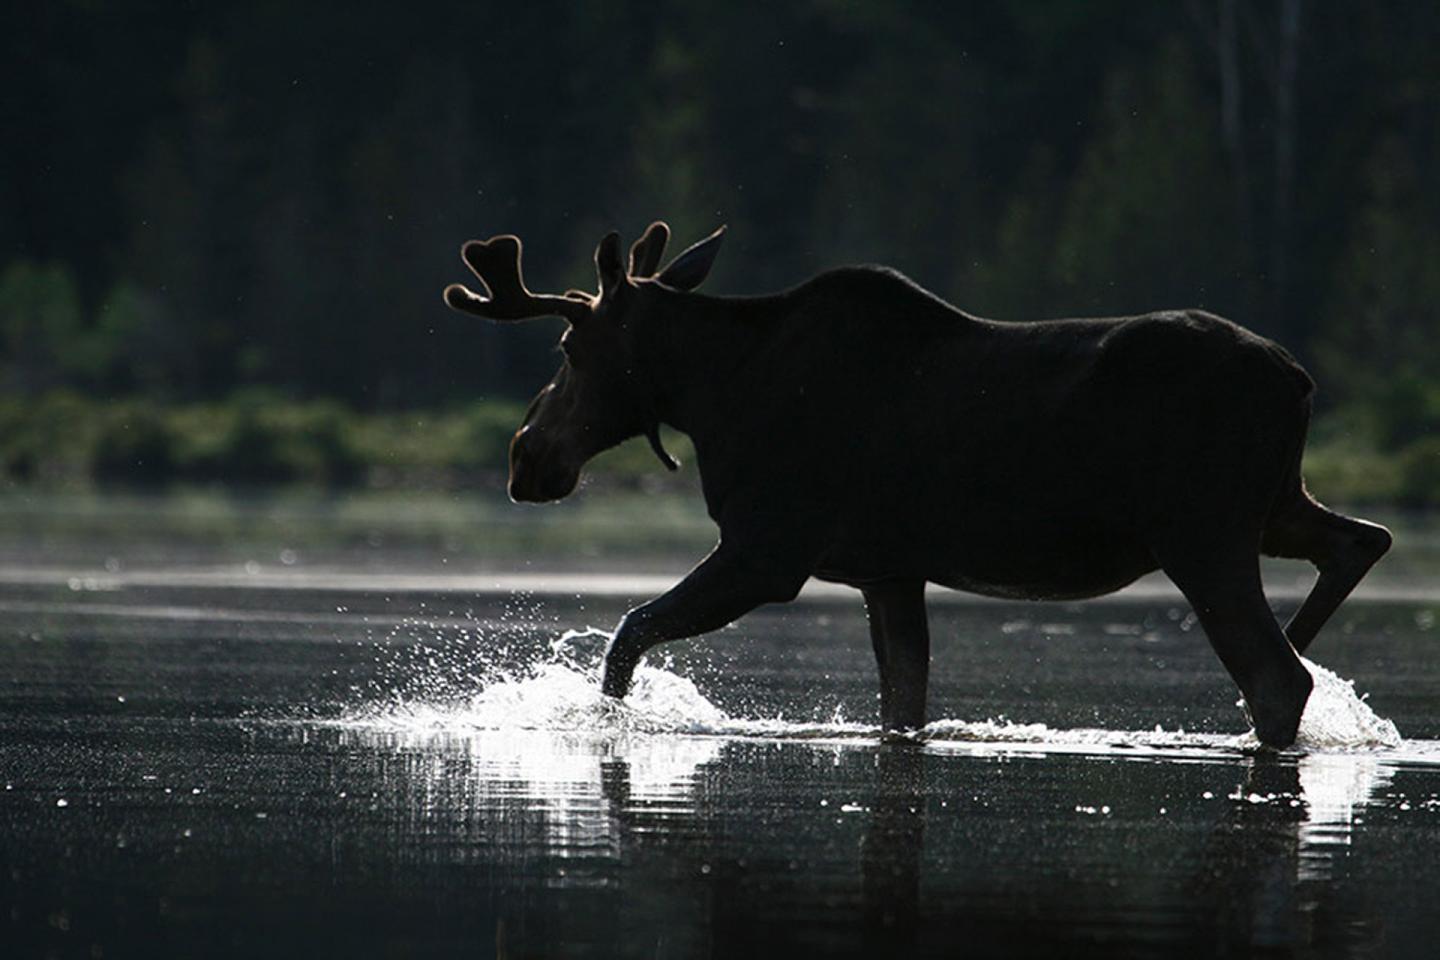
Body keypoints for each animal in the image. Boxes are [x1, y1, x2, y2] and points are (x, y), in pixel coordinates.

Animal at [440, 221, 1393, 748]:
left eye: (569, 348)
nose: (526, 456)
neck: (715, 393)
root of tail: (1301, 381)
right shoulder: (889, 570)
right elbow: (904, 703)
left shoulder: (767, 551)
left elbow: (628, 632)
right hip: (1273, 509)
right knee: (1362, 541)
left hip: (1203, 535)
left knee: (1276, 675)